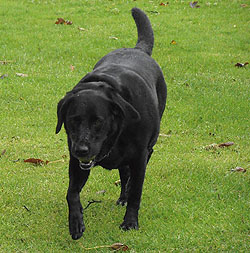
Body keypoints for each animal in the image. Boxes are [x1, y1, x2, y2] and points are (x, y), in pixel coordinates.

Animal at [55, 7, 167, 239]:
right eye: (72, 121)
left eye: (98, 121)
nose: (81, 149)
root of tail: (138, 50)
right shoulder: (76, 162)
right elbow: (71, 193)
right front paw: (76, 222)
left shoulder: (140, 158)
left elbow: (136, 191)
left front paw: (130, 222)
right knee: (124, 174)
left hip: (148, 148)